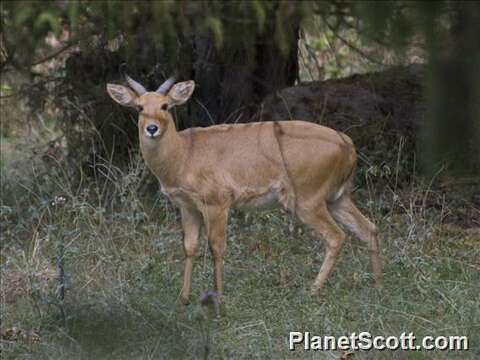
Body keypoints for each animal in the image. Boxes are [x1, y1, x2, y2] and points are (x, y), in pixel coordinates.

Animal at [107, 76, 380, 304]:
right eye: (139, 107)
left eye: (165, 106)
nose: (151, 128)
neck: (183, 156)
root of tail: (349, 147)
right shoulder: (187, 205)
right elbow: (189, 247)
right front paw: (183, 298)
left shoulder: (217, 200)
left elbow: (216, 247)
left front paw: (218, 297)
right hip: (337, 196)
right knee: (368, 228)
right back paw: (377, 282)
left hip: (307, 196)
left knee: (336, 236)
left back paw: (313, 290)